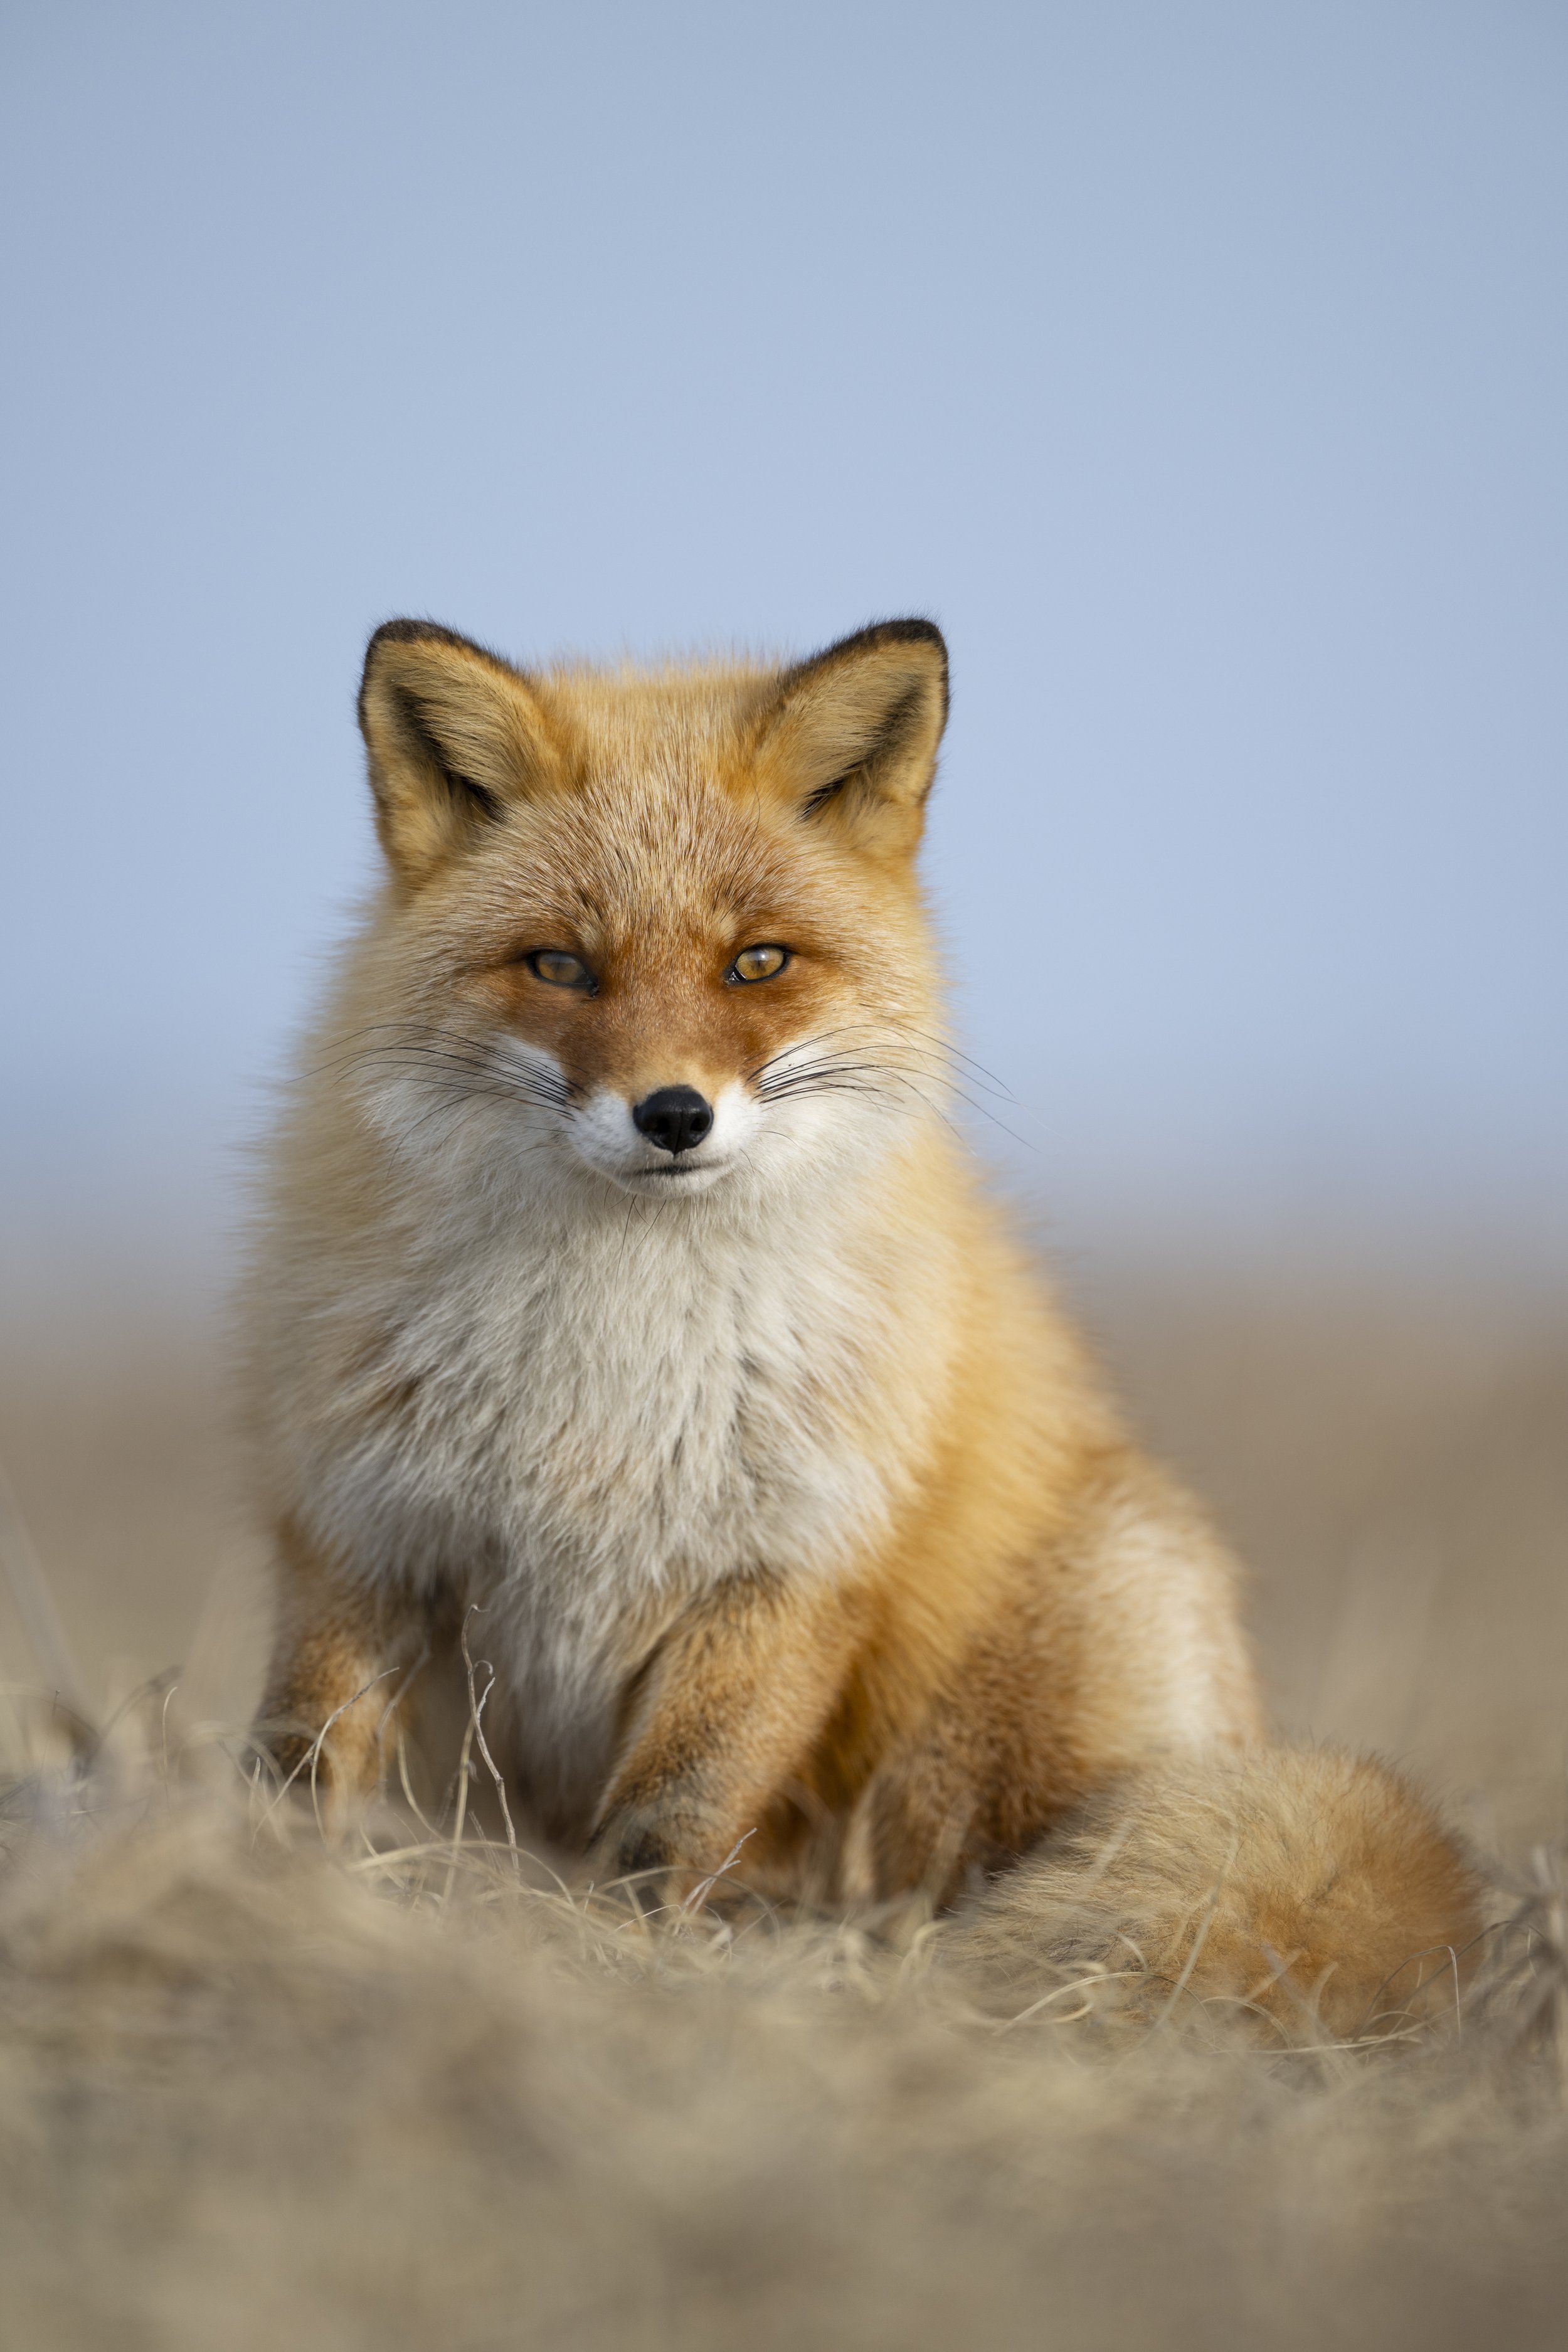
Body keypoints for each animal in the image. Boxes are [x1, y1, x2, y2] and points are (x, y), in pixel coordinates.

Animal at [246, 614, 1480, 2037]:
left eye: (757, 962)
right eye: (560, 964)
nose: (674, 1114)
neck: (609, 1370)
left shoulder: (787, 1558)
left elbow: (670, 1816)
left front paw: (630, 1966)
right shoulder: (363, 1529)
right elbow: (298, 1758)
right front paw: (273, 1892)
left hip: (1013, 1704)